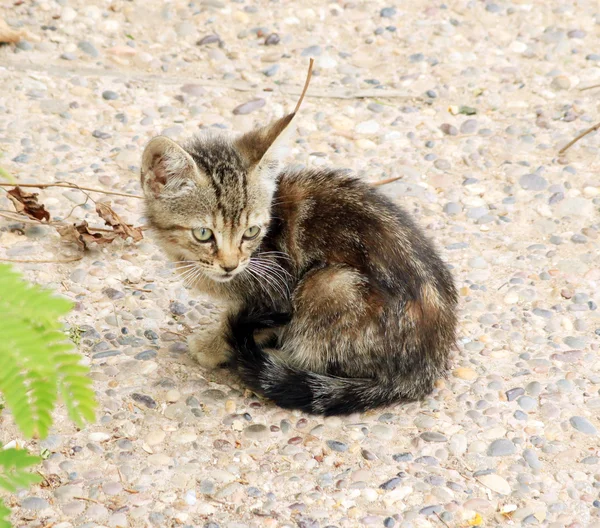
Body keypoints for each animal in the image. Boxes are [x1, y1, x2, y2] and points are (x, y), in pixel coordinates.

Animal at [141, 104, 458, 416]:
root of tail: (428, 366)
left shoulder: (277, 286)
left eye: (251, 232)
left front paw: (213, 344)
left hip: (331, 284)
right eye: (204, 234)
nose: (230, 265)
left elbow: (248, 319)